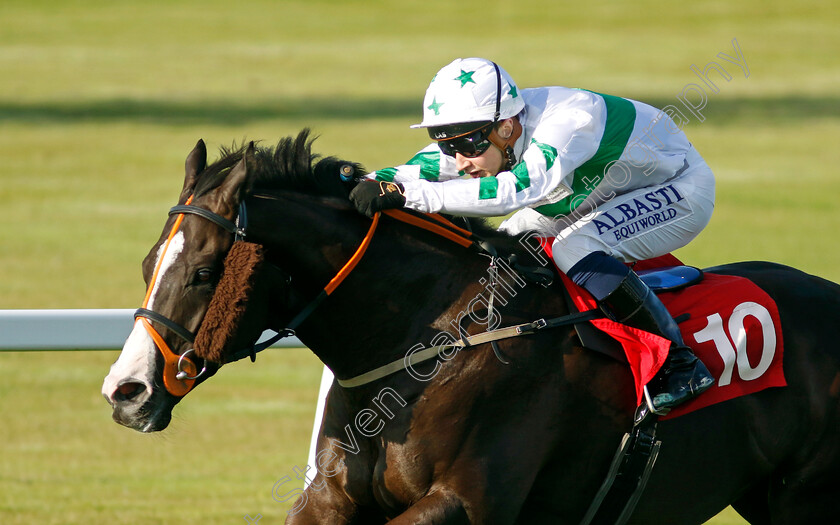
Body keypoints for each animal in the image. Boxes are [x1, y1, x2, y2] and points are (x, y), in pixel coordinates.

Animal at [103, 129, 840, 520]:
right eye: (145, 263)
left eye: (203, 272)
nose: (125, 392)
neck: (425, 344)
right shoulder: (331, 495)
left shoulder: (463, 501)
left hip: (804, 498)